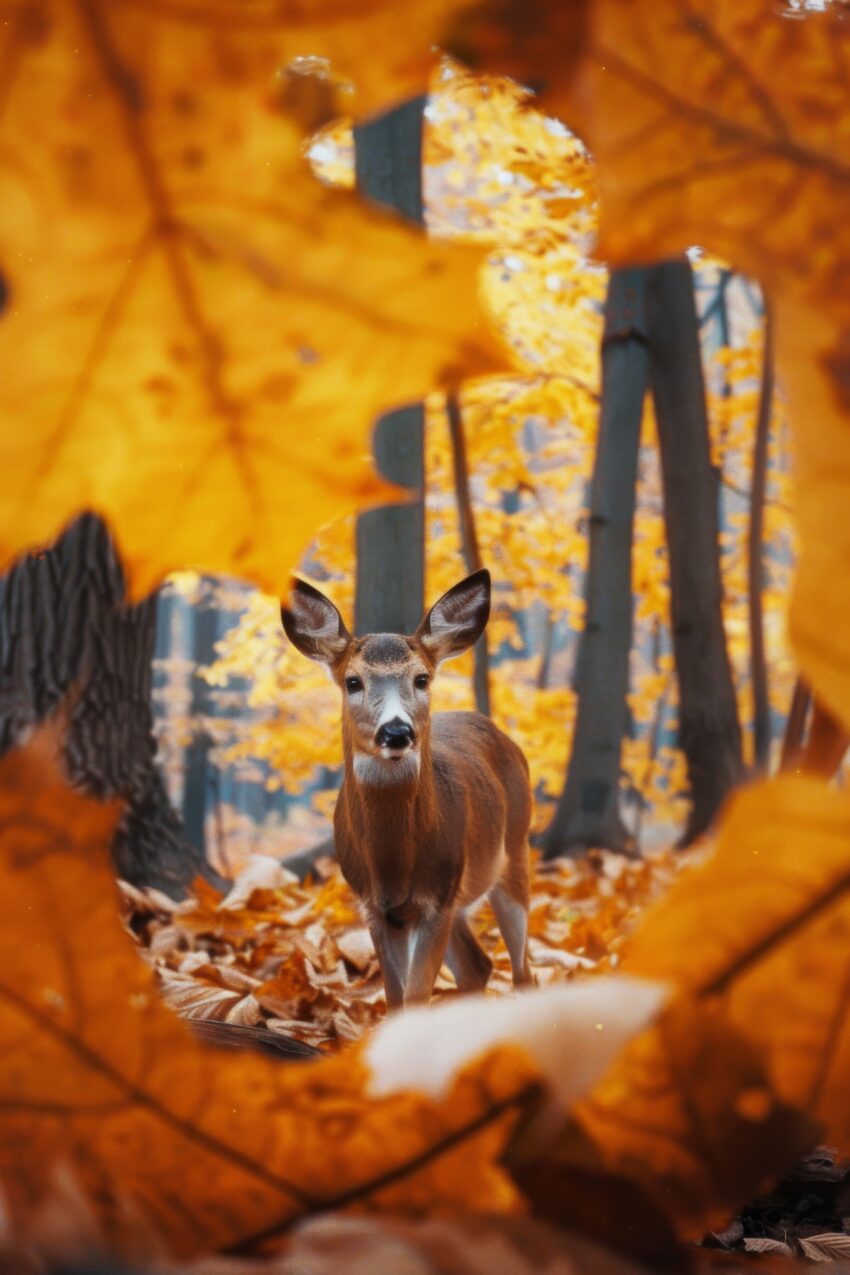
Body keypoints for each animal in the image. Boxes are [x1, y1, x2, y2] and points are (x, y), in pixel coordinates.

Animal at [281, 568, 533, 1009]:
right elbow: (397, 998)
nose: (396, 731)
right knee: (478, 965)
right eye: (353, 681)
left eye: (421, 678)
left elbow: (415, 996)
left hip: (514, 851)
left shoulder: (439, 897)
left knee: (523, 973)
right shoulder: (374, 906)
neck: (393, 863)